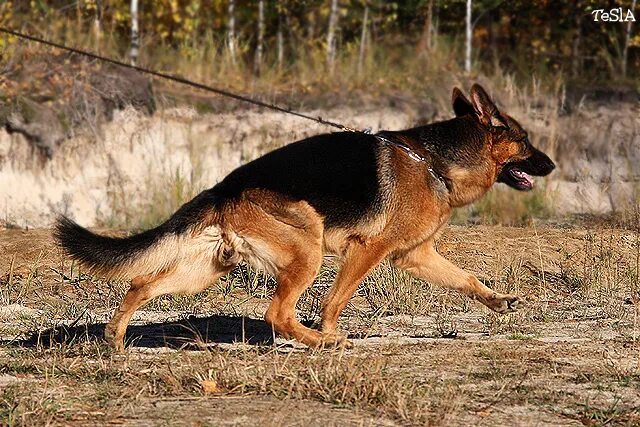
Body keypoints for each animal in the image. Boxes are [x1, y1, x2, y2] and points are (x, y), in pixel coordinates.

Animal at [55, 83, 556, 352]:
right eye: (526, 140)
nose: (551, 165)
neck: (433, 161)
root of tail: (224, 187)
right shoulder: (368, 250)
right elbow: (335, 301)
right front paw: (331, 333)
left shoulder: (413, 256)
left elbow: (466, 278)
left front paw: (498, 301)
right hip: (307, 249)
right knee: (277, 312)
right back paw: (320, 342)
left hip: (204, 270)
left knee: (141, 283)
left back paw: (116, 338)